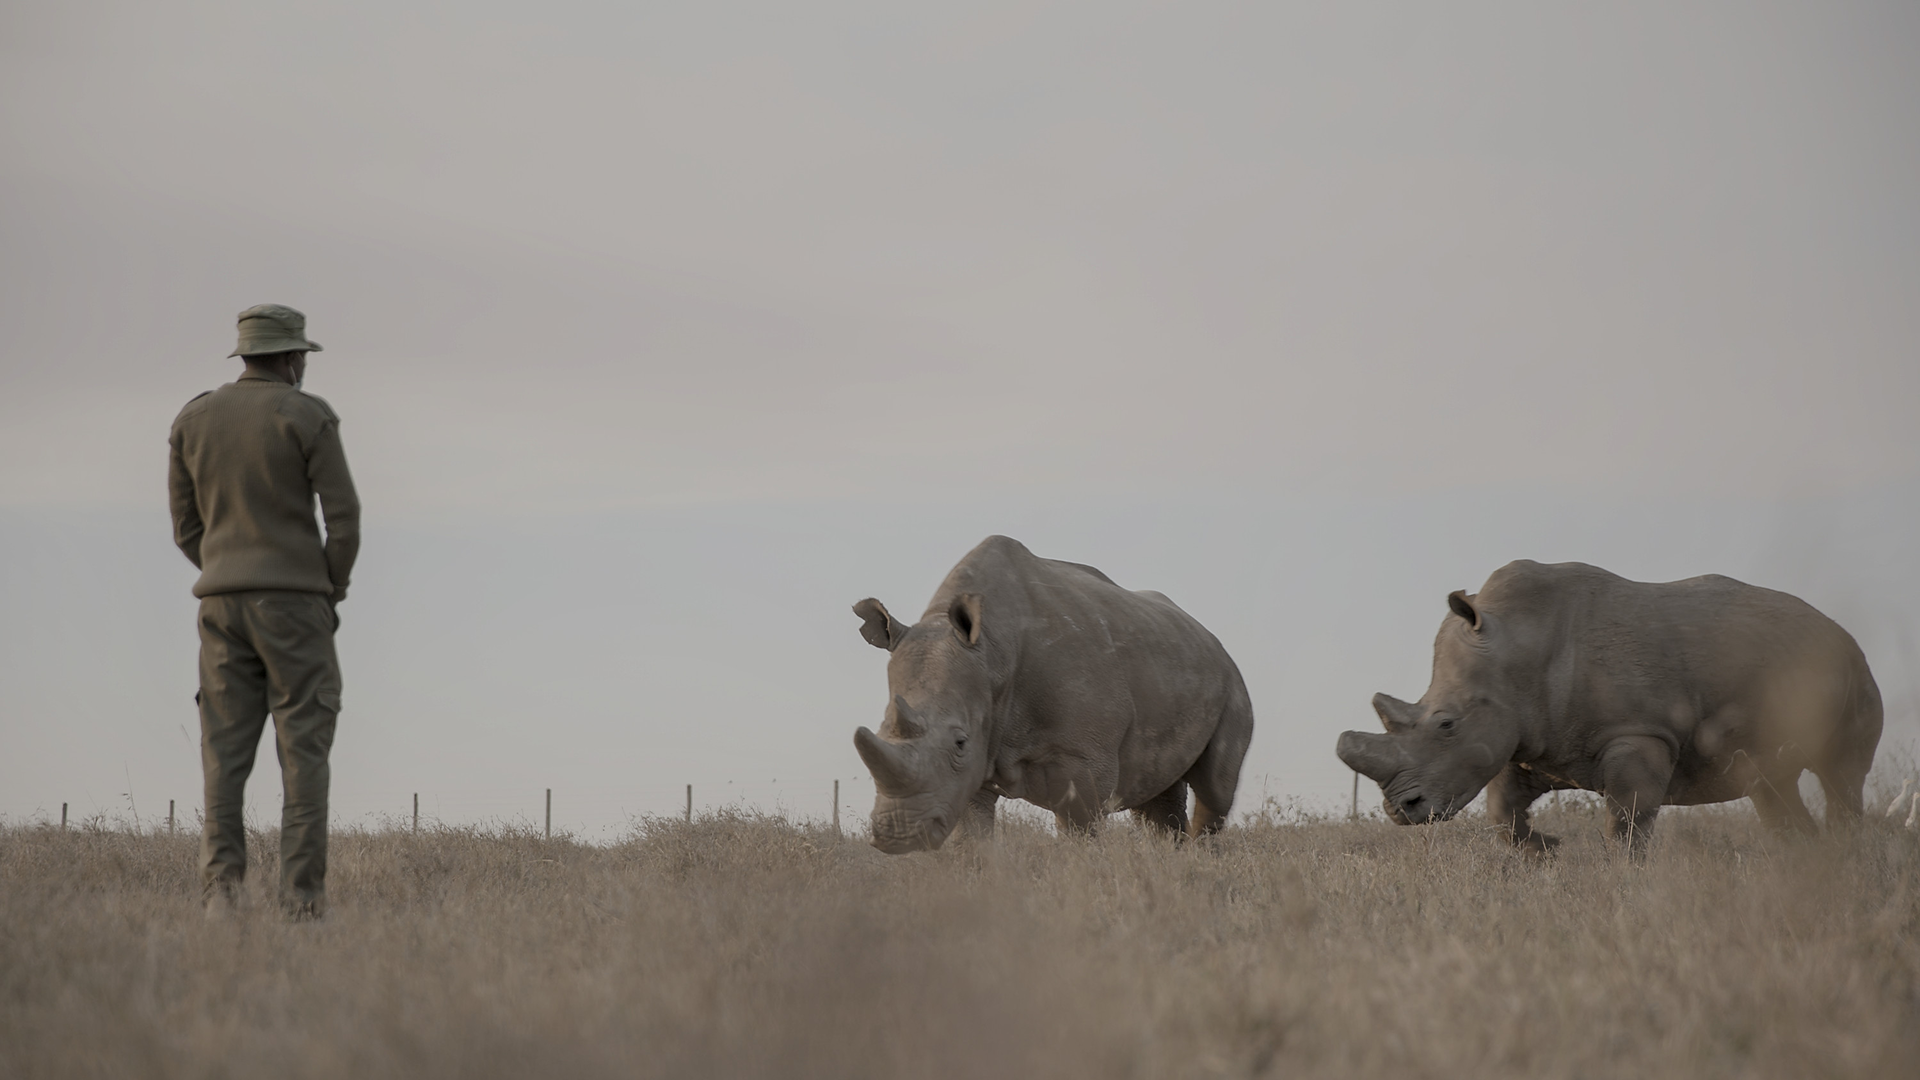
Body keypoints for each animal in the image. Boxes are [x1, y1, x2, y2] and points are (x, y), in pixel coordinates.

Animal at [850, 535, 1254, 853]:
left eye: (960, 742)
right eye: (881, 730)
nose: (899, 836)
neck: (992, 653)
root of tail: (1208, 635)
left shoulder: (1084, 761)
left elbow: (1079, 830)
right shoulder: (973, 759)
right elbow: (972, 835)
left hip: (1233, 679)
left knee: (1215, 789)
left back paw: (1202, 862)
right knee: (1154, 800)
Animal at [1337, 560, 1882, 857]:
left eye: (1446, 724)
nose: (1401, 810)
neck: (1516, 648)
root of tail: (1839, 630)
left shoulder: (1640, 733)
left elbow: (1626, 821)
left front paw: (1624, 879)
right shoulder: (1528, 738)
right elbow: (1501, 811)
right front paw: (1546, 850)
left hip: (1852, 667)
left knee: (1840, 776)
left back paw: (1842, 859)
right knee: (1771, 787)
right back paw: (1805, 868)